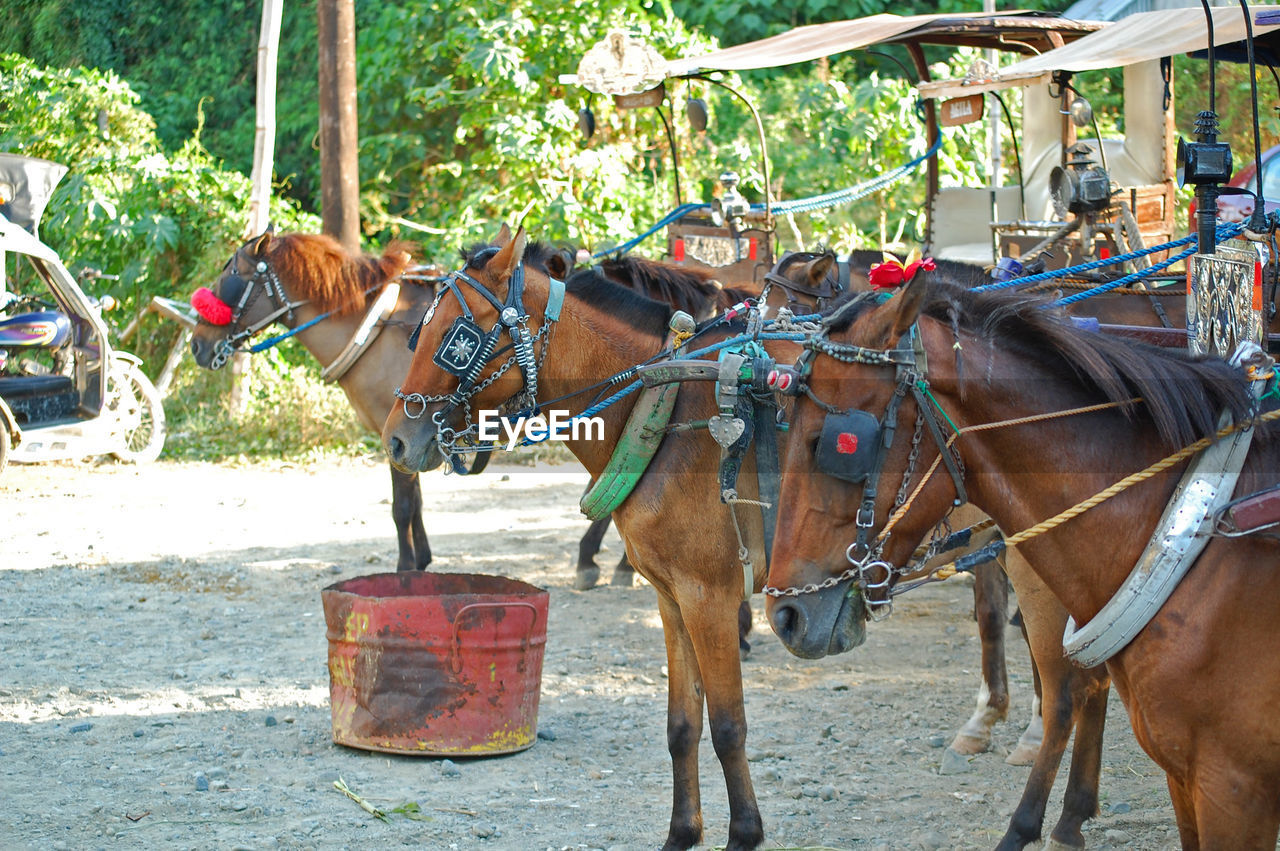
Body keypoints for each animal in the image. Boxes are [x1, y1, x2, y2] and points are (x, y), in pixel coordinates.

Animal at [378, 225, 778, 849]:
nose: (395, 439)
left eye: (455, 339)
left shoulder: (709, 596)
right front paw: (682, 833)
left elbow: (728, 726)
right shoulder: (674, 598)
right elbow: (683, 724)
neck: (666, 407)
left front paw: (744, 833)